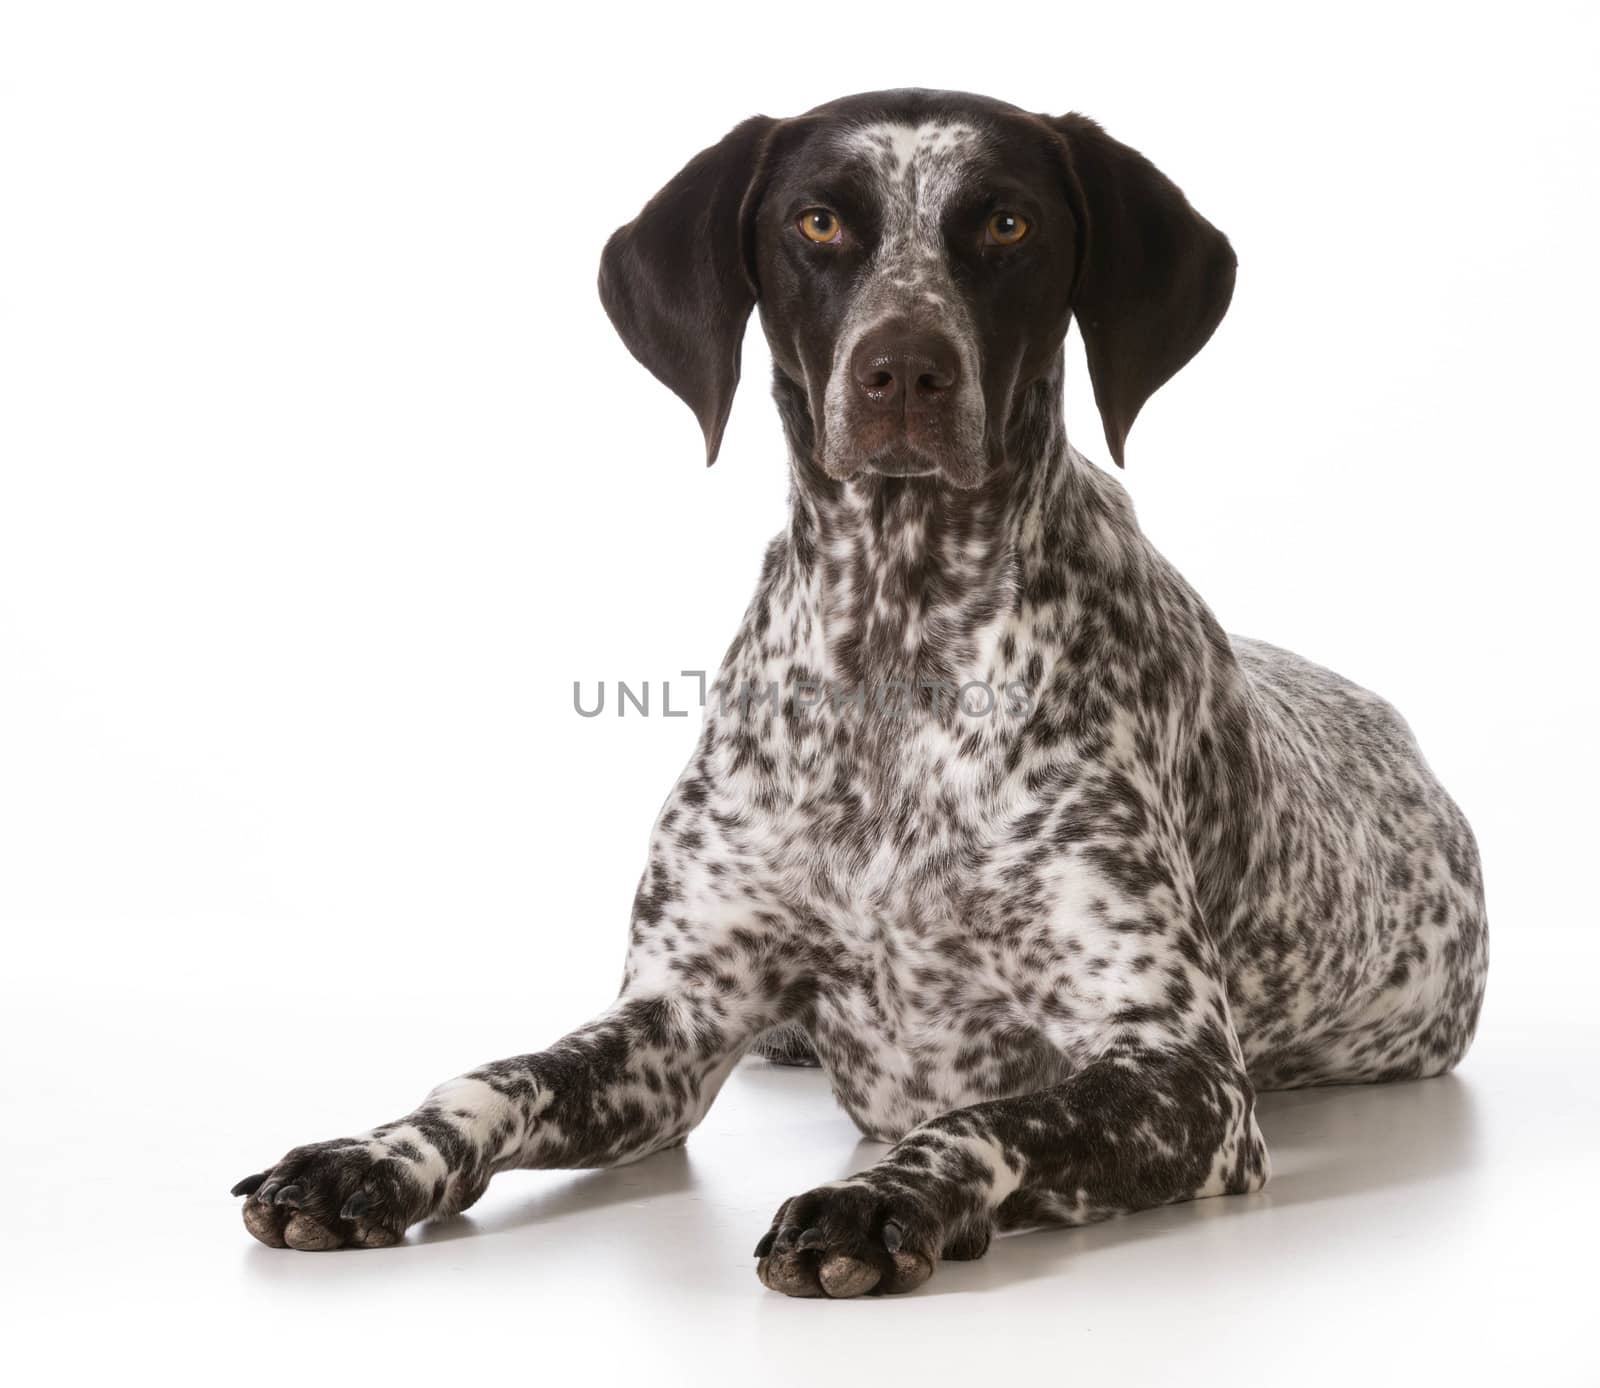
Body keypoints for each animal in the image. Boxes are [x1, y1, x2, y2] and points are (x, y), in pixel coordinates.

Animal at [233, 89, 1484, 1298]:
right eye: (819, 222)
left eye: (1008, 222)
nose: (904, 370)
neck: (896, 628)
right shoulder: (672, 1024)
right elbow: (492, 1079)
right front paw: (369, 1156)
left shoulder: (1184, 1076)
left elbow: (988, 1117)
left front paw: (880, 1196)